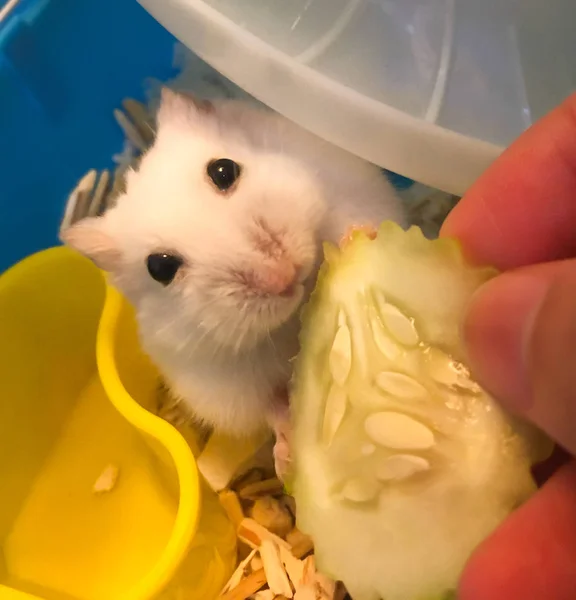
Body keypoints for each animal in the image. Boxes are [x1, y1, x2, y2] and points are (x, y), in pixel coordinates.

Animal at [62, 88, 404, 446]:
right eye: (159, 268)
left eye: (224, 170)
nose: (282, 276)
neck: (292, 318)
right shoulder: (229, 387)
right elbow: (269, 408)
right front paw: (286, 446)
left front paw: (358, 235)